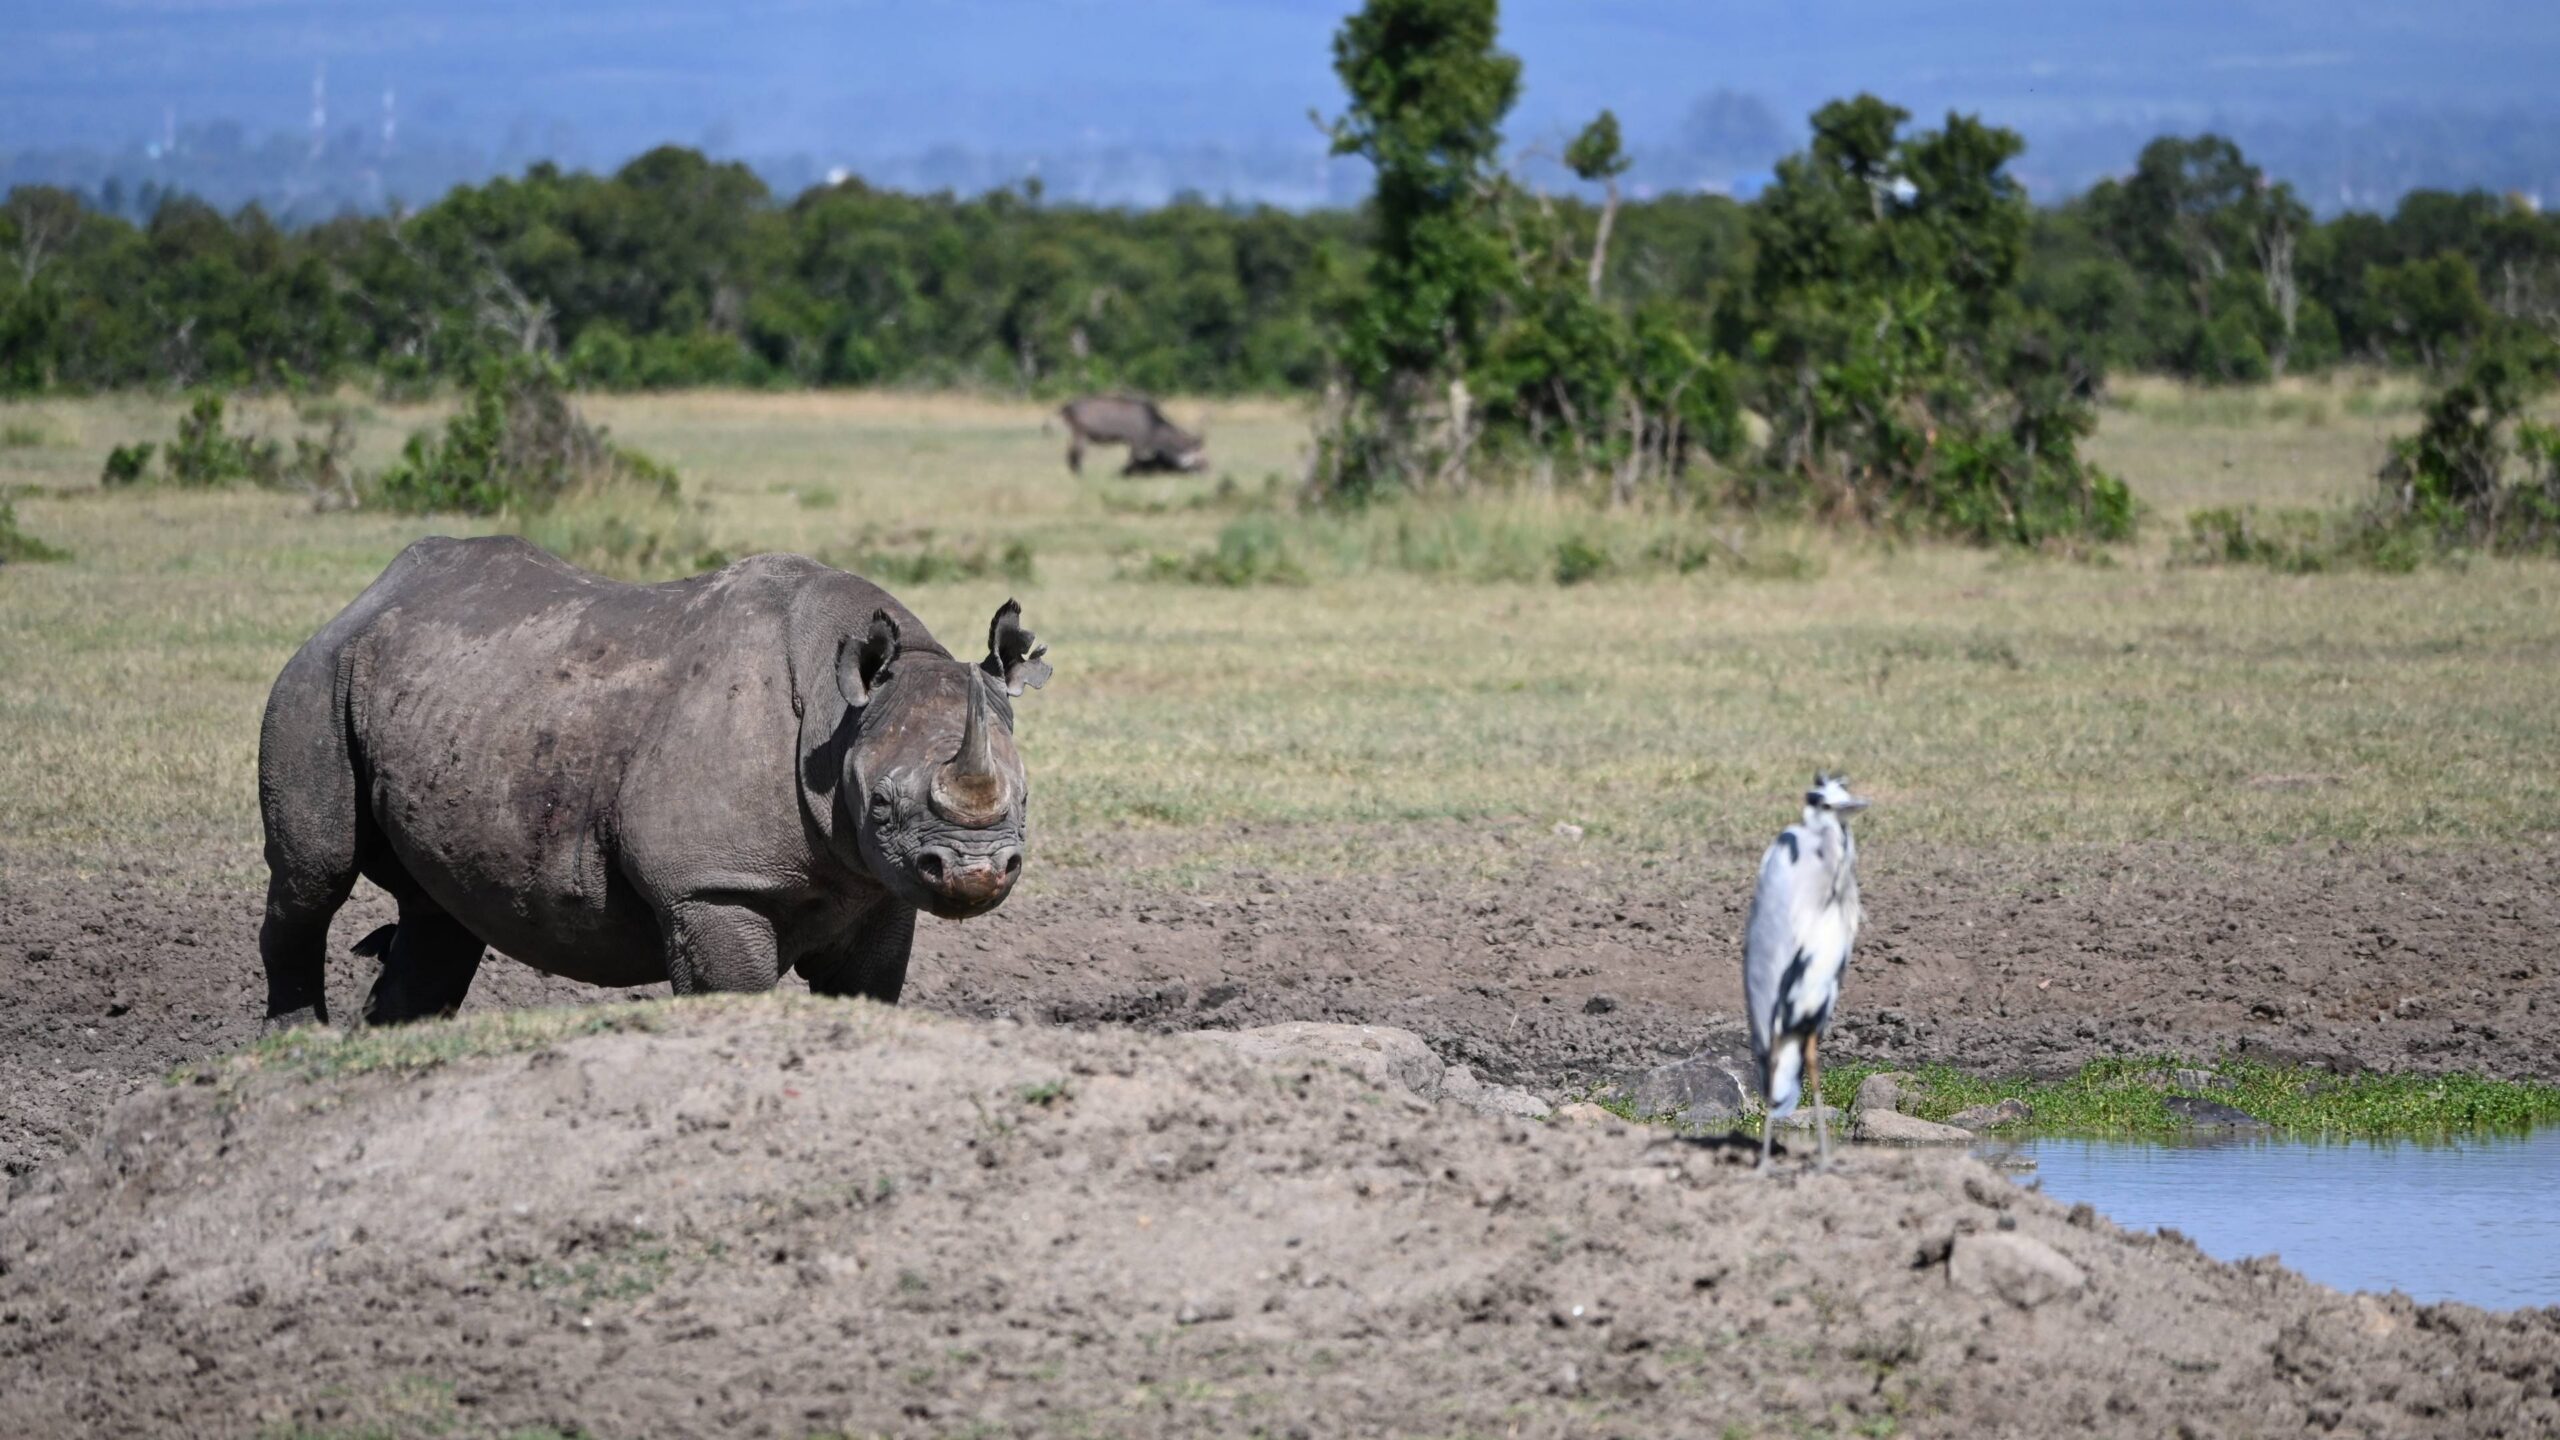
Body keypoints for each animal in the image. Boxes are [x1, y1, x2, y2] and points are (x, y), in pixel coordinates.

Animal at [255, 535, 1052, 1027]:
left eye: (1026, 799)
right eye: (881, 804)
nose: (976, 872)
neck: (839, 716)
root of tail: (367, 593)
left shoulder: (878, 888)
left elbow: (866, 991)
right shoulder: (712, 884)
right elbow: (732, 988)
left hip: (446, 695)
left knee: (440, 915)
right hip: (317, 675)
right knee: (313, 877)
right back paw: (298, 1041)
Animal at [1059, 394, 1208, 475]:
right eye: (1199, 455)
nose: (1208, 469)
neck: (1153, 425)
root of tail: (1066, 407)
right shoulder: (1136, 444)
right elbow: (1134, 462)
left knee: (1070, 455)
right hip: (1081, 435)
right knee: (1076, 456)